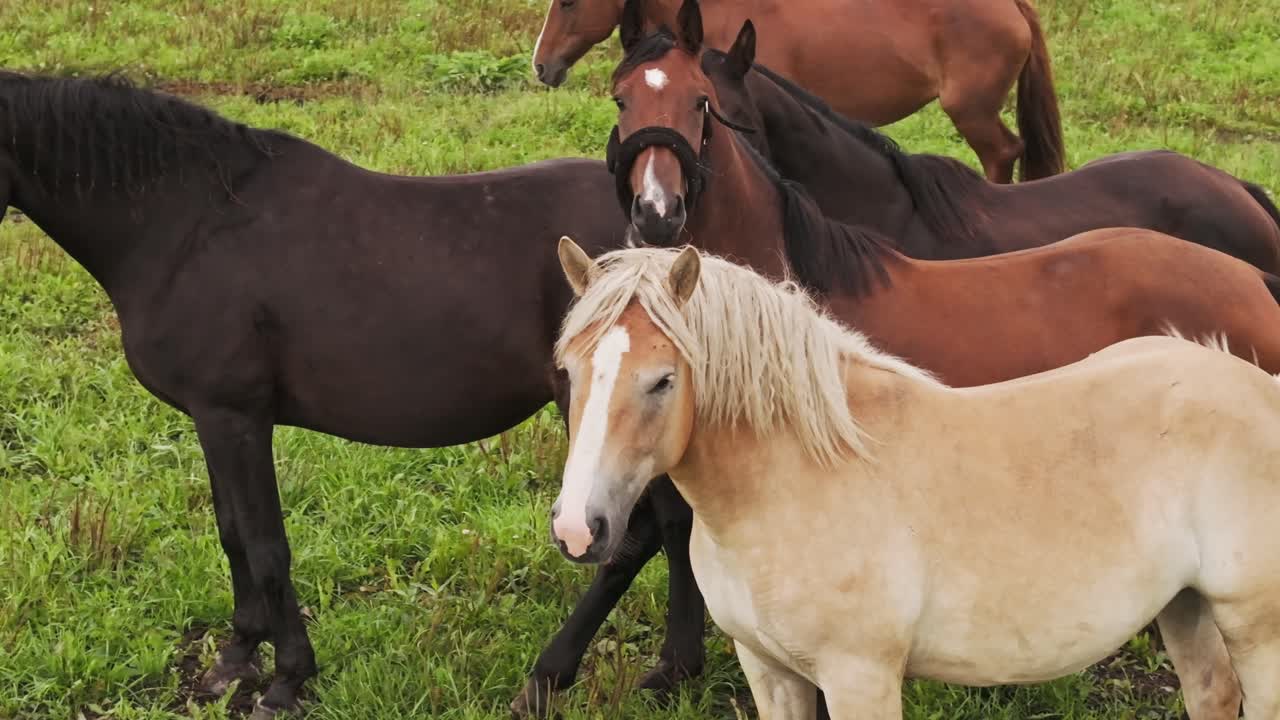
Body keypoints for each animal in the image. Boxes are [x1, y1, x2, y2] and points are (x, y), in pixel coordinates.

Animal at [0, 70, 703, 720]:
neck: (188, 224)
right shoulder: (212, 417)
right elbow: (233, 534)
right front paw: (235, 659)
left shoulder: (234, 416)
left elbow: (266, 546)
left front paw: (286, 679)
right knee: (674, 525)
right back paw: (674, 667)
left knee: (636, 535)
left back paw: (549, 677)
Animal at [550, 241, 1276, 720]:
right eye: (571, 370)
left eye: (662, 380)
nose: (579, 529)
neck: (795, 478)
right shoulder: (770, 671)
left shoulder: (859, 677)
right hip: (1183, 605)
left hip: (1256, 628)